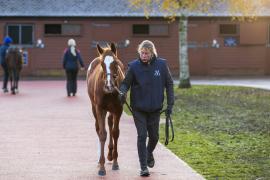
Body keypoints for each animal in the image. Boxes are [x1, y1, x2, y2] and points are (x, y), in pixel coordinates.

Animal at [86, 42, 124, 176]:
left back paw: (110, 155)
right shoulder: (100, 109)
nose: (109, 85)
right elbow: (102, 134)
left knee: (110, 122)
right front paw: (102, 167)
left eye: (115, 63)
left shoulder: (118, 109)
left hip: (112, 110)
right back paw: (100, 159)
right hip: (94, 108)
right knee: (98, 128)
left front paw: (115, 162)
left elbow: (115, 132)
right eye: (102, 64)